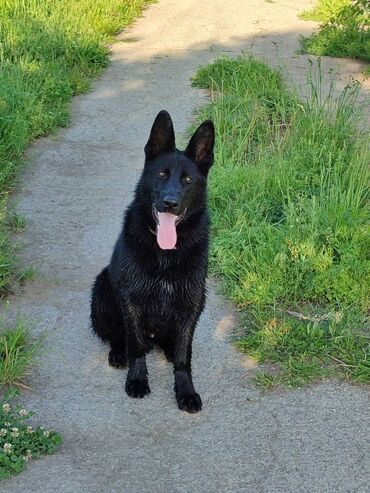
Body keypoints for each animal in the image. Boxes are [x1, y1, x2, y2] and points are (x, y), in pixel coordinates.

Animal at [90, 108, 215, 412]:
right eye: (161, 173)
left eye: (188, 180)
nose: (170, 203)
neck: (165, 254)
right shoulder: (131, 301)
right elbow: (135, 346)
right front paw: (137, 380)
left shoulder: (192, 302)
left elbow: (183, 357)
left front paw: (185, 391)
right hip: (101, 289)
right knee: (118, 335)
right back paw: (118, 352)